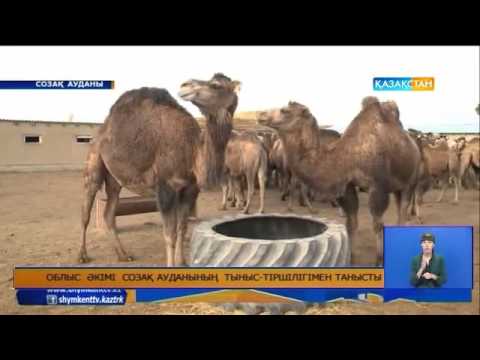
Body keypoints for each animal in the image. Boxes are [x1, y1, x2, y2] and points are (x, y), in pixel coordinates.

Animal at [81, 73, 244, 266]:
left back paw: (123, 255)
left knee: (109, 214)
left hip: (114, 179)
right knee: (86, 210)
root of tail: (101, 131)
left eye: (216, 85)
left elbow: (182, 228)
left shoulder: (190, 190)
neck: (193, 152)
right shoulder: (166, 188)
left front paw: (182, 262)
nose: (185, 85)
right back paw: (82, 255)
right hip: (94, 161)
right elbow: (170, 234)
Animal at [258, 97, 420, 264]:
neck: (347, 157)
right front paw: (352, 258)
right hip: (397, 188)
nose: (261, 115)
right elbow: (351, 224)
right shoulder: (348, 186)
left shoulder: (378, 187)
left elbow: (377, 224)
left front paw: (379, 260)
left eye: (285, 111)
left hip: (410, 182)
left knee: (403, 211)